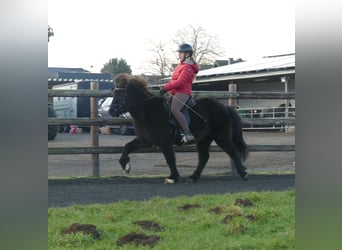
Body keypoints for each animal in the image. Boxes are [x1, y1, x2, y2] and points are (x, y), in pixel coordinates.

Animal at [109, 73, 248, 183]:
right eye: (114, 93)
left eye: (121, 94)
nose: (111, 112)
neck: (147, 111)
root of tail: (224, 107)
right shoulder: (145, 140)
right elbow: (127, 147)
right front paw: (125, 166)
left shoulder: (164, 143)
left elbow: (170, 159)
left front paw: (173, 177)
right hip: (204, 139)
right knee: (204, 157)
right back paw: (193, 177)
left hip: (221, 137)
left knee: (233, 152)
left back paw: (243, 173)